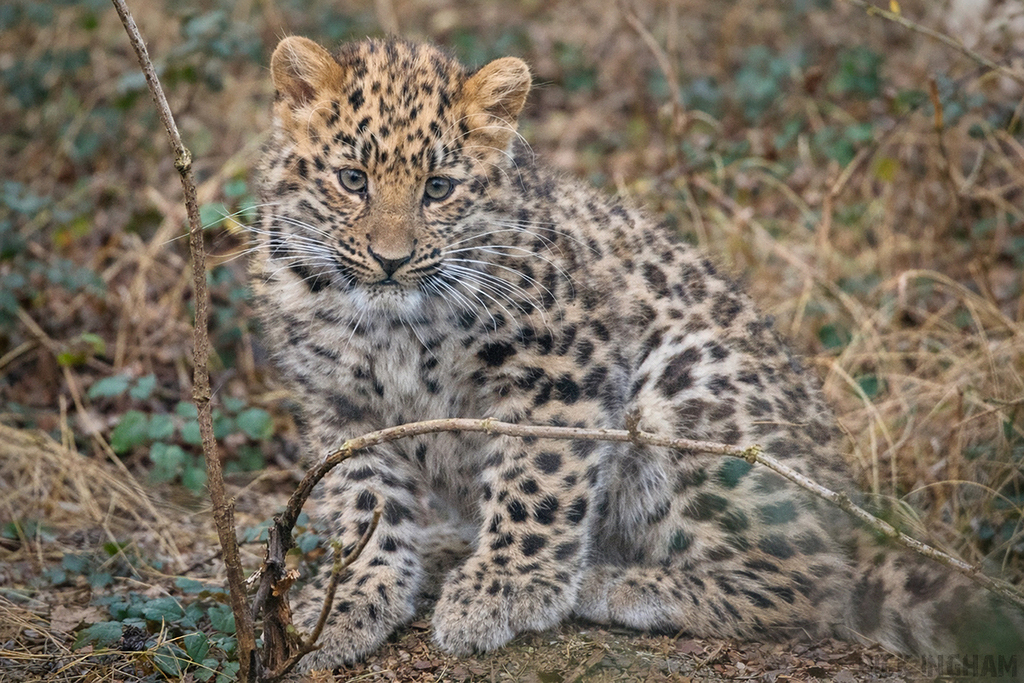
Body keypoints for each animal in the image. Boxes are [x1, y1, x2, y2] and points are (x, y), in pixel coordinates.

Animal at [250, 36, 1023, 672]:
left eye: (438, 188)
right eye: (352, 179)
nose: (390, 260)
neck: (390, 325)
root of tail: (847, 515)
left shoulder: (563, 366)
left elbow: (536, 483)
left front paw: (504, 591)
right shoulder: (342, 407)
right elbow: (364, 505)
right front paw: (349, 602)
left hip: (683, 389)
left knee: (811, 584)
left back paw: (609, 580)